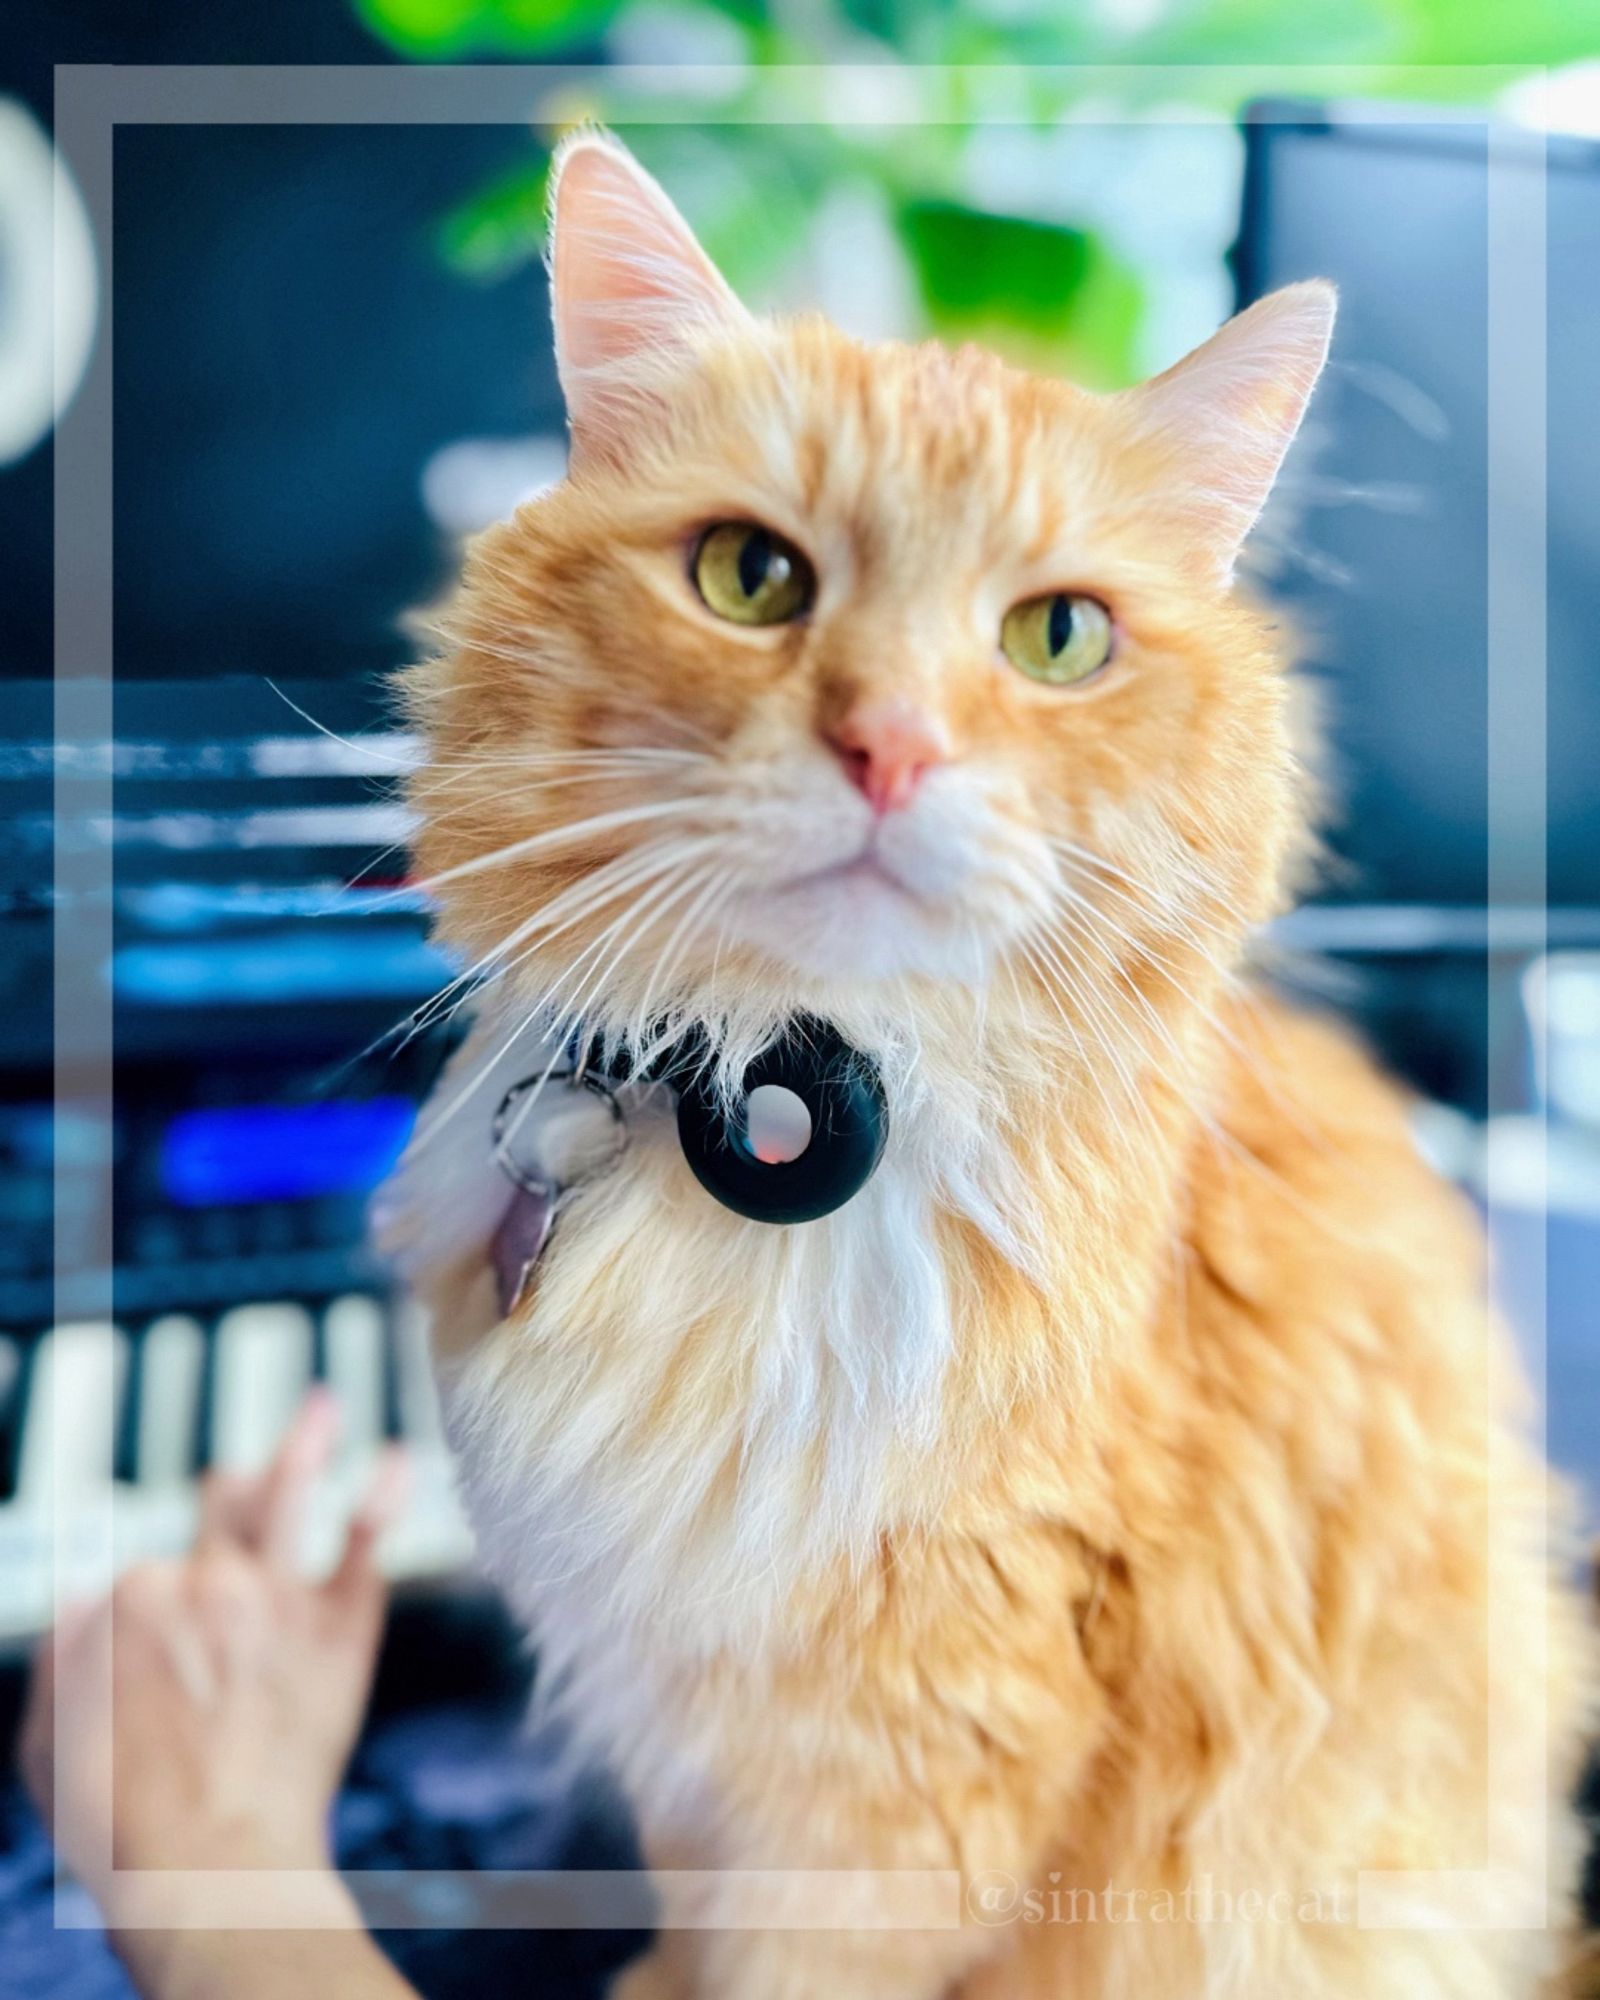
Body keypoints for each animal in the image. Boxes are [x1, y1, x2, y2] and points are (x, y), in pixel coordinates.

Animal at [382, 133, 1592, 1992]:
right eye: (751, 579)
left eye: (1058, 640)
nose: (890, 747)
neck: (777, 1114)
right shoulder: (678, 1721)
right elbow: (689, 1915)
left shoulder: (909, 1774)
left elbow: (785, 1964)